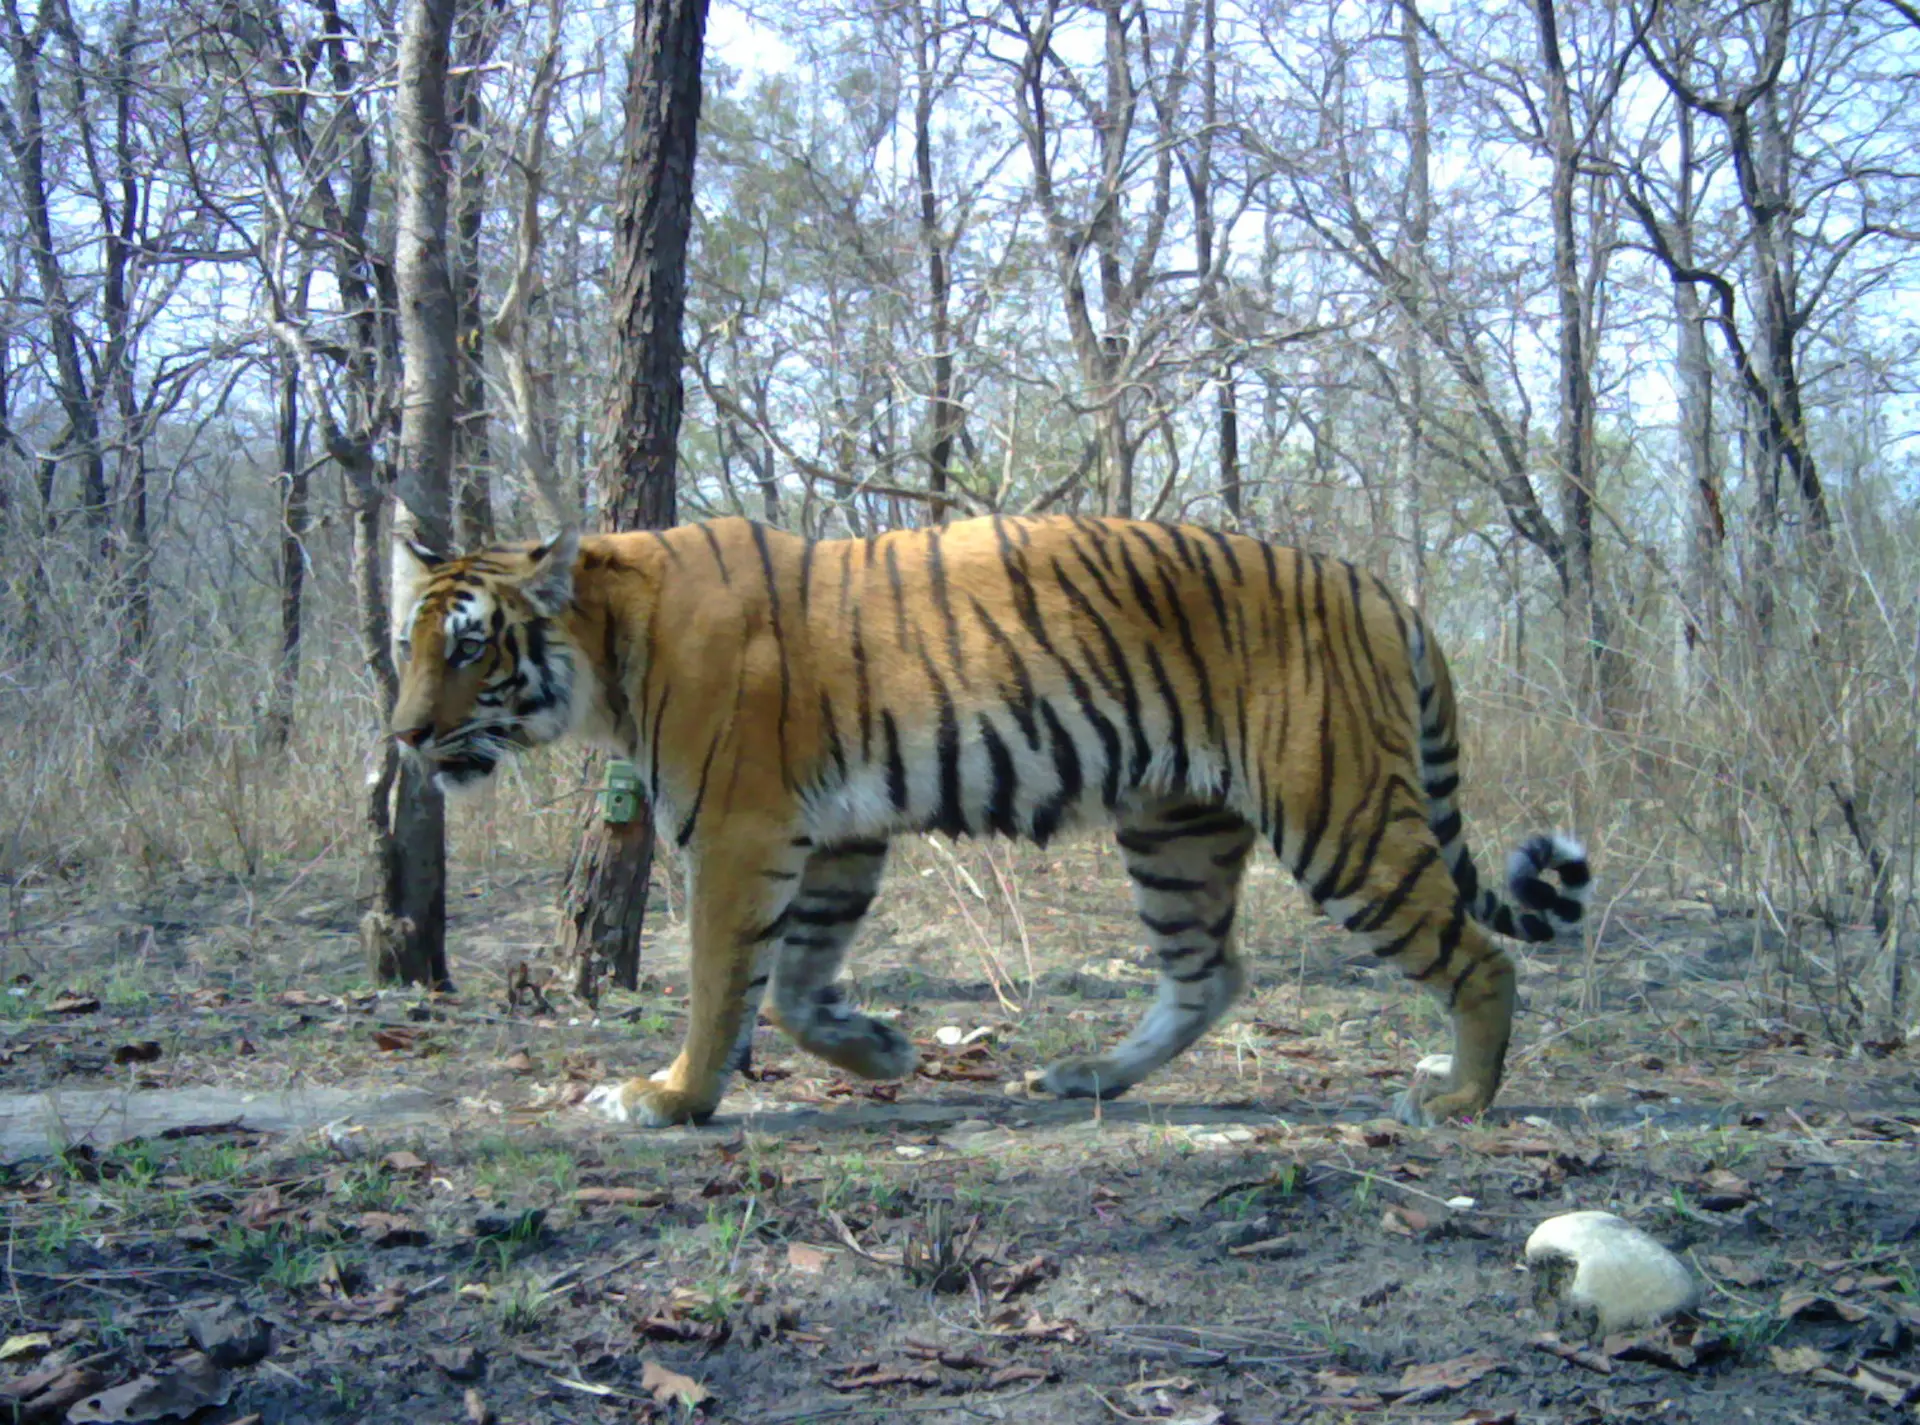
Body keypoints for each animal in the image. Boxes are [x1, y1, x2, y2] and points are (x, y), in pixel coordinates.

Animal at [390, 514, 1589, 1128]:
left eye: (469, 648)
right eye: (414, 647)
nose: (402, 736)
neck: (605, 644)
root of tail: (1390, 592)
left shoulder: (740, 831)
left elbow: (724, 983)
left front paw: (670, 1096)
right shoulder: (834, 837)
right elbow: (790, 986)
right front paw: (877, 1050)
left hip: (1338, 819)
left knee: (1480, 957)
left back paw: (1463, 1095)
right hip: (1175, 829)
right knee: (1208, 975)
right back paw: (1087, 1076)